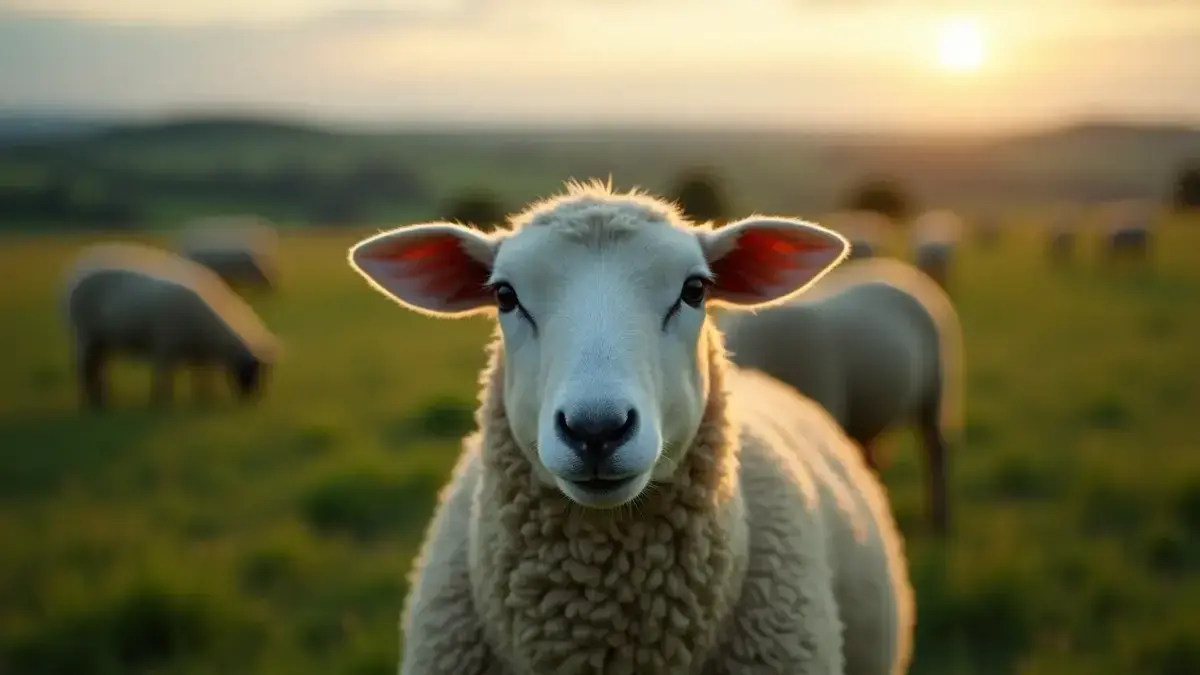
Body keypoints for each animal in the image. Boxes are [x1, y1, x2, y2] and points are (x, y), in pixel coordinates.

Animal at [63, 242, 278, 408]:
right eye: (251, 371)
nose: (250, 403)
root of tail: (77, 284)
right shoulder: (164, 348)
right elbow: (164, 379)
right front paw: (161, 404)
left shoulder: (199, 353)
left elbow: (202, 378)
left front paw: (204, 400)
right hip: (84, 336)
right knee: (85, 370)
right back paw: (90, 405)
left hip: (102, 341)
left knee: (98, 368)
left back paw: (103, 402)